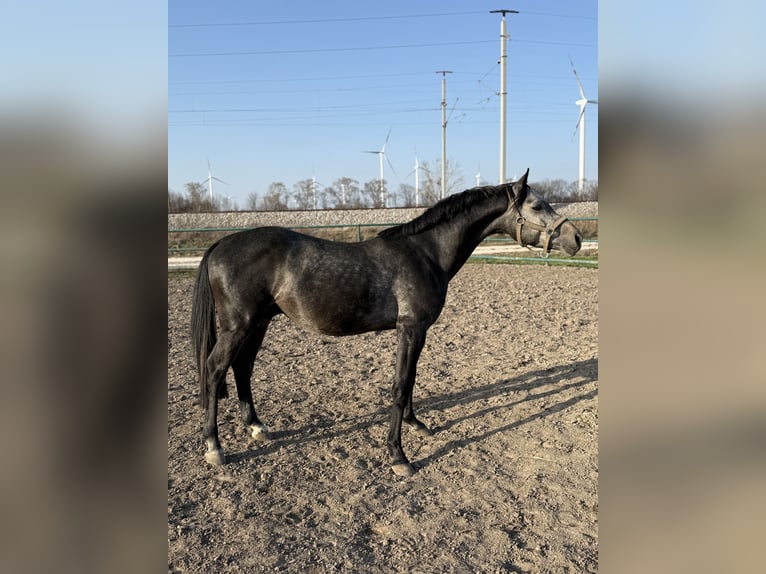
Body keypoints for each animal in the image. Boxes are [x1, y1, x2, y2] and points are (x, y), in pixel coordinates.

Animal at [190, 168, 582, 477]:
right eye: (537, 206)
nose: (576, 238)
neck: (425, 252)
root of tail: (221, 244)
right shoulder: (410, 329)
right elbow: (400, 385)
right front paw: (398, 456)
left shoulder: (417, 332)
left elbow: (411, 381)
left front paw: (416, 424)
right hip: (239, 325)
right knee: (215, 368)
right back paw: (214, 446)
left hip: (259, 323)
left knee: (242, 368)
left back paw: (256, 427)